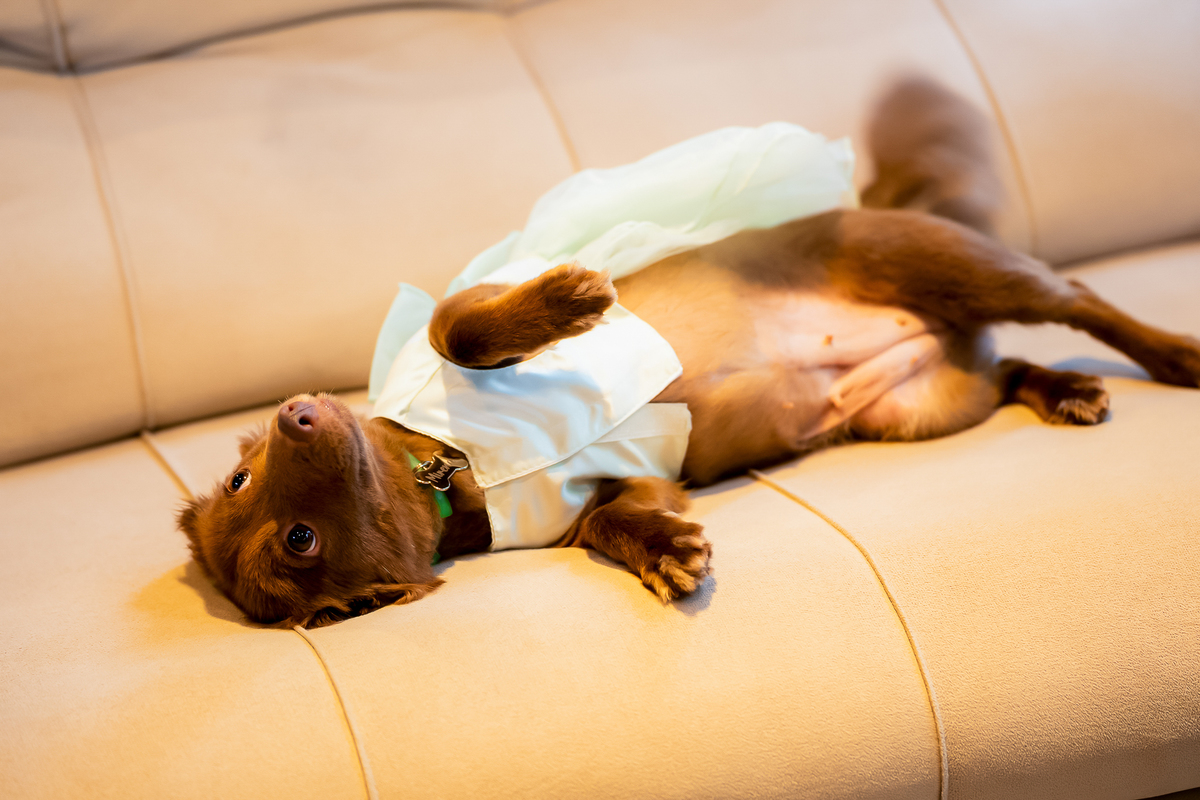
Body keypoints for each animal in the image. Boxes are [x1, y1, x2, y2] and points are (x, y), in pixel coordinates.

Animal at [179, 78, 1200, 628]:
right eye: (295, 541)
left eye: (239, 478)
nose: (295, 412)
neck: (453, 469)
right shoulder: (620, 487)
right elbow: (616, 524)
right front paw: (670, 553)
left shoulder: (464, 311)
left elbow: (460, 323)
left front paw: (575, 295)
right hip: (922, 404)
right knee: (1003, 367)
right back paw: (1064, 389)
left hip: (958, 267)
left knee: (1083, 301)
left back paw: (1170, 355)